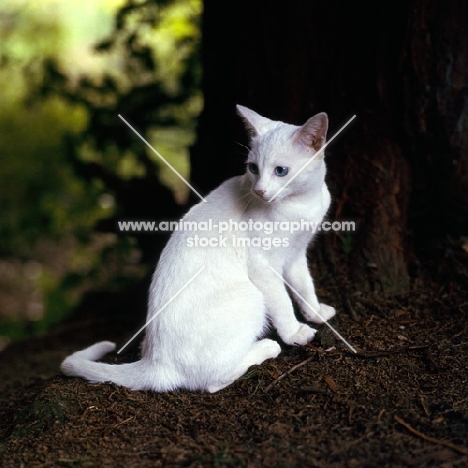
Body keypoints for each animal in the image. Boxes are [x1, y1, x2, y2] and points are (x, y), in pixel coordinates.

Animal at [61, 105, 336, 392]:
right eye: (253, 168)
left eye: (280, 171)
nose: (259, 191)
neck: (302, 203)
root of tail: (155, 362)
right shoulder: (263, 265)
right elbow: (283, 302)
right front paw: (295, 333)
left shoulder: (296, 254)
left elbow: (304, 285)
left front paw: (316, 312)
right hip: (252, 296)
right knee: (213, 381)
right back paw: (266, 347)